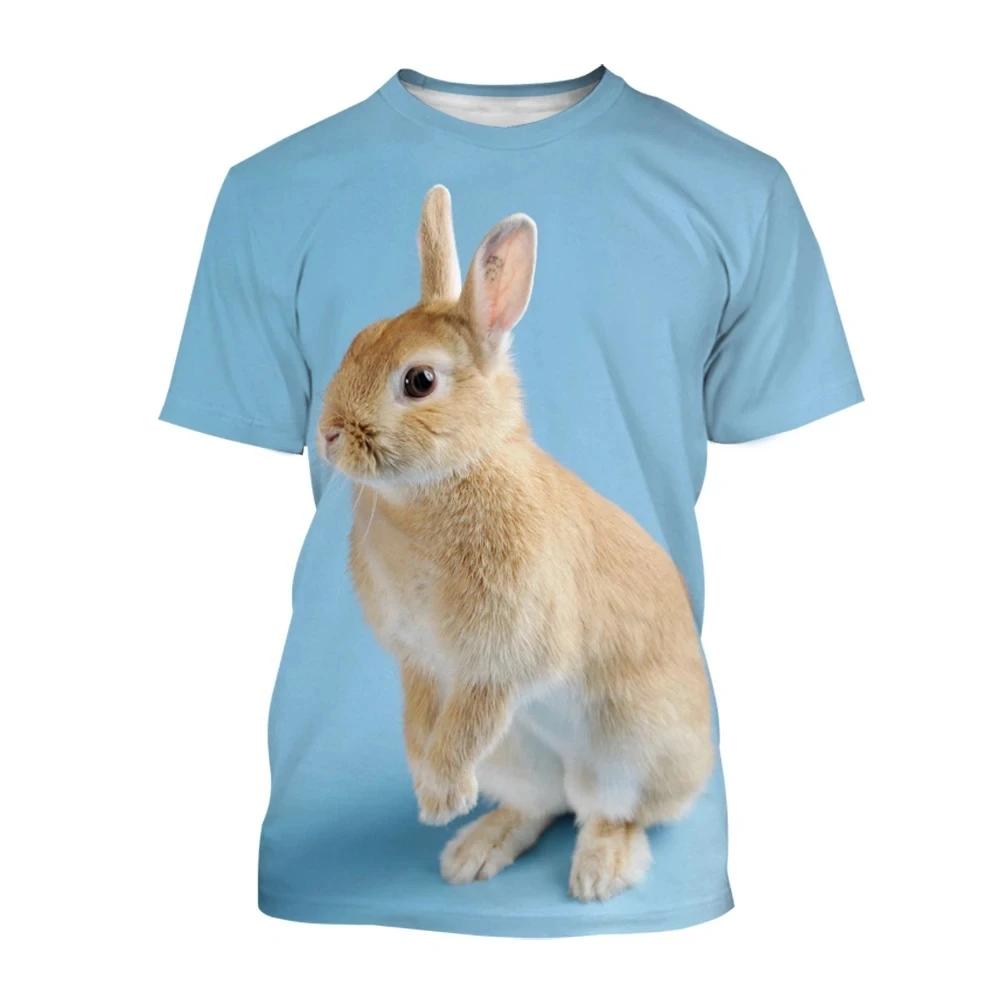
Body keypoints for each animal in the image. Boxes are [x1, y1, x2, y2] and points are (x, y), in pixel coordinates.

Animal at [318, 185, 713, 901]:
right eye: (358, 338)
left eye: (419, 381)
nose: (329, 432)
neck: (439, 487)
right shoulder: (421, 661)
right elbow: (420, 716)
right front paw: (430, 788)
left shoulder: (500, 659)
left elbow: (470, 716)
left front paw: (440, 796)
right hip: (517, 757)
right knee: (543, 805)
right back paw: (474, 848)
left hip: (629, 750)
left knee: (612, 813)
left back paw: (599, 872)